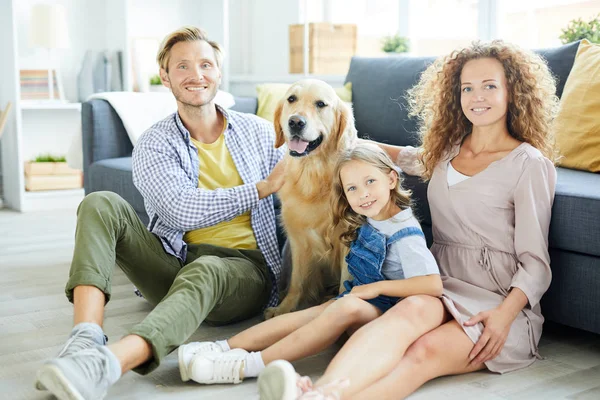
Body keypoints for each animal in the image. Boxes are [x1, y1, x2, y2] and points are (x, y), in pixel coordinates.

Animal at [264, 79, 356, 320]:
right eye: (291, 99)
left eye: (321, 104)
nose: (295, 122)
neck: (313, 177)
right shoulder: (298, 239)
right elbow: (297, 281)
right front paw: (283, 309)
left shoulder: (349, 239)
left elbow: (346, 280)